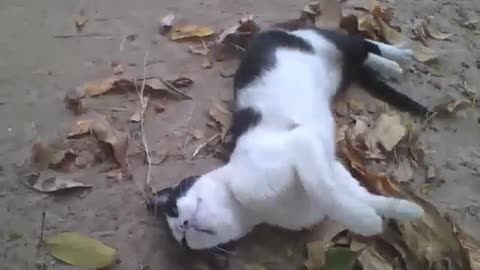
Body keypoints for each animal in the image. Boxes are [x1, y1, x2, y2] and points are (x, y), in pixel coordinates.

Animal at [148, 26, 430, 250]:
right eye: (182, 239)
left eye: (174, 208)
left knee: (361, 42)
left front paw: (368, 222)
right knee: (362, 58)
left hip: (333, 44)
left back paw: (397, 58)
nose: (183, 226)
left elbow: (322, 188)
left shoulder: (301, 142)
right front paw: (403, 211)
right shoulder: (336, 174)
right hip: (345, 74)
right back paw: (390, 66)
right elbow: (362, 198)